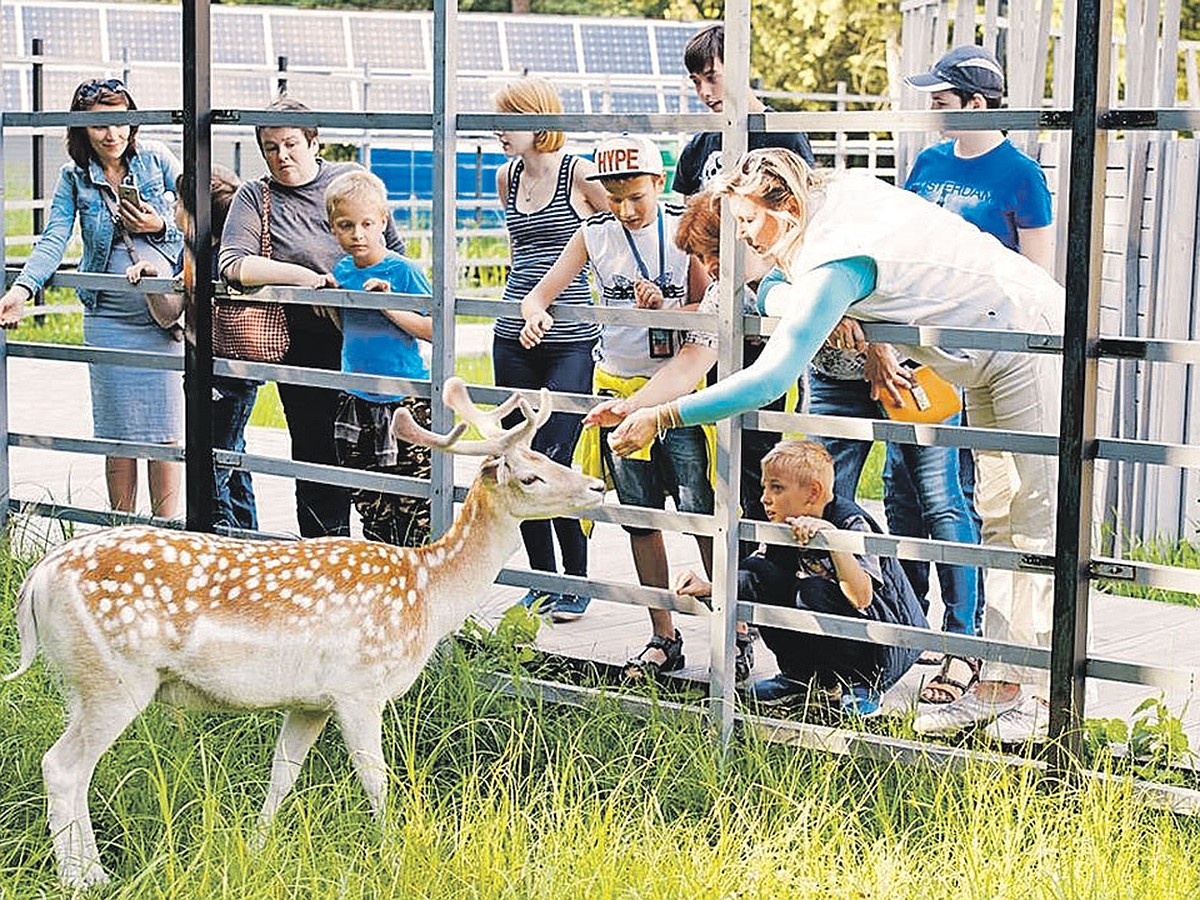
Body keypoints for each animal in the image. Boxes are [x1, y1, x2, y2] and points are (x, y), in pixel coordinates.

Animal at [7, 379, 609, 888]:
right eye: (529, 475)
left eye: (549, 457)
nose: (598, 484)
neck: (429, 594)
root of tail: (38, 580)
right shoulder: (359, 688)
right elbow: (377, 781)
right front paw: (395, 858)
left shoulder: (310, 702)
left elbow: (282, 776)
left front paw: (255, 848)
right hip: (114, 678)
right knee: (63, 766)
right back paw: (85, 879)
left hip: (79, 682)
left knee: (72, 765)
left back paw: (91, 870)